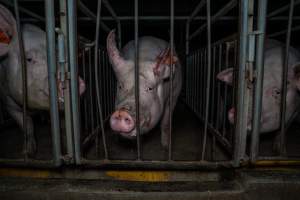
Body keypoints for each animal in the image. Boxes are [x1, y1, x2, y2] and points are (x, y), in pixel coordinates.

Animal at [0, 4, 85, 155]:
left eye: (58, 55)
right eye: (28, 59)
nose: (76, 82)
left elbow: (62, 125)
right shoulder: (7, 99)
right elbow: (26, 124)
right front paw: (28, 152)